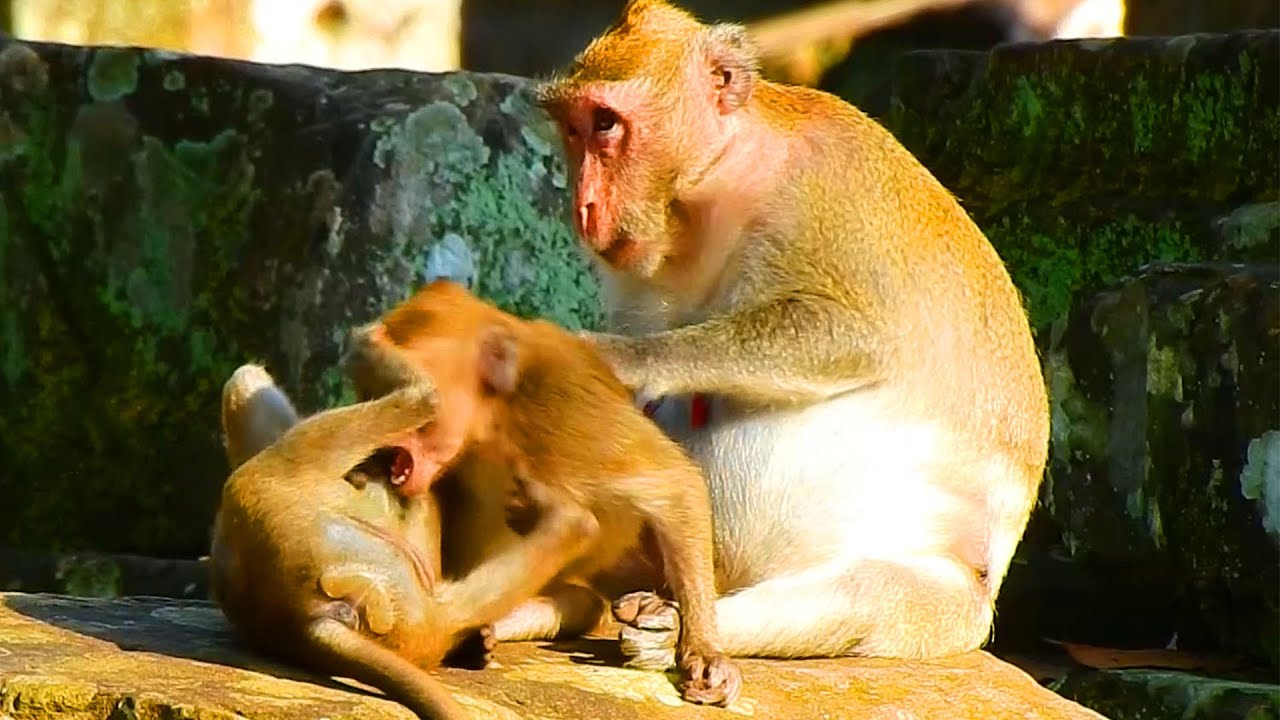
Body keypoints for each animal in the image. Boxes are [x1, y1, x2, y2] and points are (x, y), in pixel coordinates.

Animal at [340, 278, 742, 707]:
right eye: (373, 391)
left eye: (400, 390)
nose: (380, 435)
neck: (496, 417)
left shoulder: (567, 414)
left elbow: (675, 483)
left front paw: (705, 650)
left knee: (587, 602)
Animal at [531, 0, 1052, 669]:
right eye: (572, 129)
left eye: (604, 124)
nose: (584, 206)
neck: (717, 187)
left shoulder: (830, 191)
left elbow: (858, 334)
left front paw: (626, 359)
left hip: (944, 610)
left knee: (866, 596)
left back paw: (679, 631)